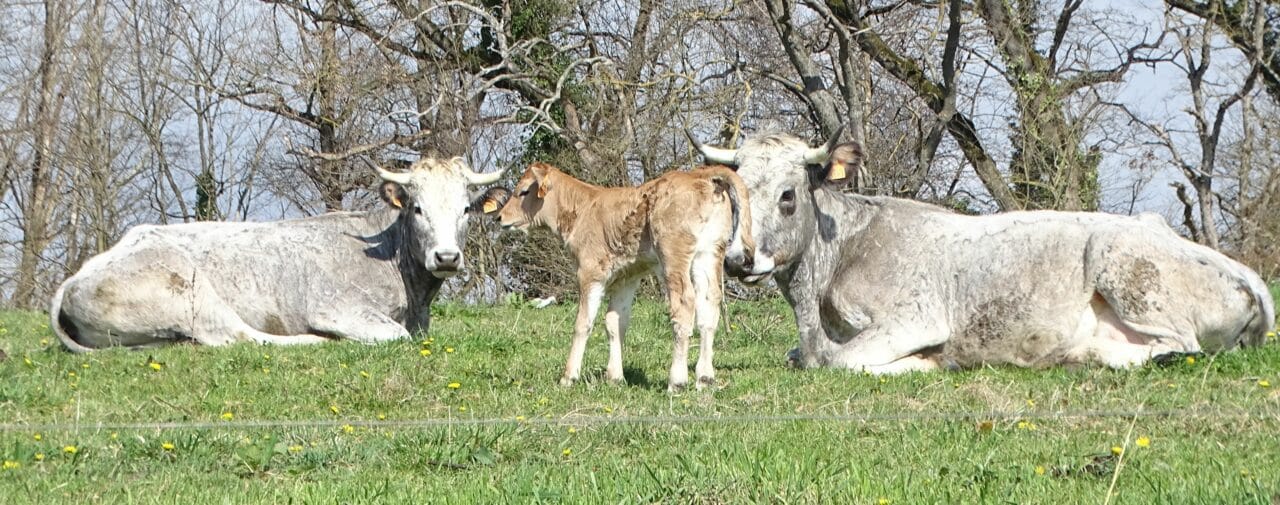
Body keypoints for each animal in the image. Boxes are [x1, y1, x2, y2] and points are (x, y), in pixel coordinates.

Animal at [496, 162, 747, 391]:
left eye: (523, 191)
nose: (499, 217)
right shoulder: (626, 277)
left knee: (684, 304)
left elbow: (583, 323)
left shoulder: (589, 272)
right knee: (709, 304)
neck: (582, 209)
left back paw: (677, 381)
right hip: (709, 253)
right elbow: (615, 322)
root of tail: (700, 174)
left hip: (673, 254)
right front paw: (615, 377)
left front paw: (569, 377)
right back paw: (705, 377)